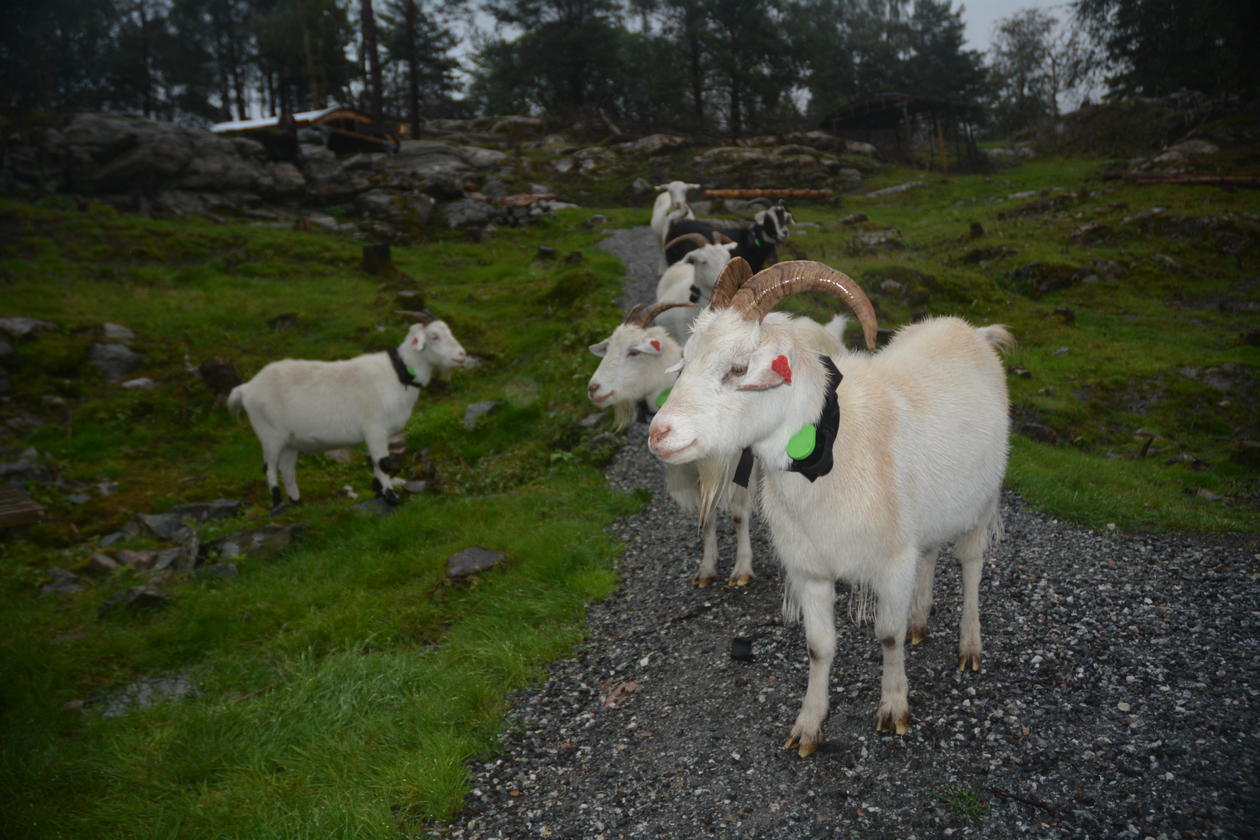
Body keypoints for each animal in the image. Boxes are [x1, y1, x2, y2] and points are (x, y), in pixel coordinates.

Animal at [228, 318, 473, 508]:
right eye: (434, 337)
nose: (462, 354)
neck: (397, 375)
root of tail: (247, 387)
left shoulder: (385, 433)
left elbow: (379, 462)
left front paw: (378, 491)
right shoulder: (374, 428)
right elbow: (383, 462)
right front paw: (391, 497)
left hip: (290, 441)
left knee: (287, 470)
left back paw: (297, 503)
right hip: (269, 434)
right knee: (269, 468)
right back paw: (278, 504)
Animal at [650, 259, 1013, 760]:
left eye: (738, 368)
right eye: (684, 360)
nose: (658, 434)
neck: (828, 448)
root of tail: (970, 329)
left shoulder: (891, 563)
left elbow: (887, 635)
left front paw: (894, 709)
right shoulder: (810, 569)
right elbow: (818, 646)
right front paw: (808, 726)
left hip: (982, 501)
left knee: (972, 566)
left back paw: (969, 646)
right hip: (930, 514)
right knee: (930, 553)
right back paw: (921, 619)